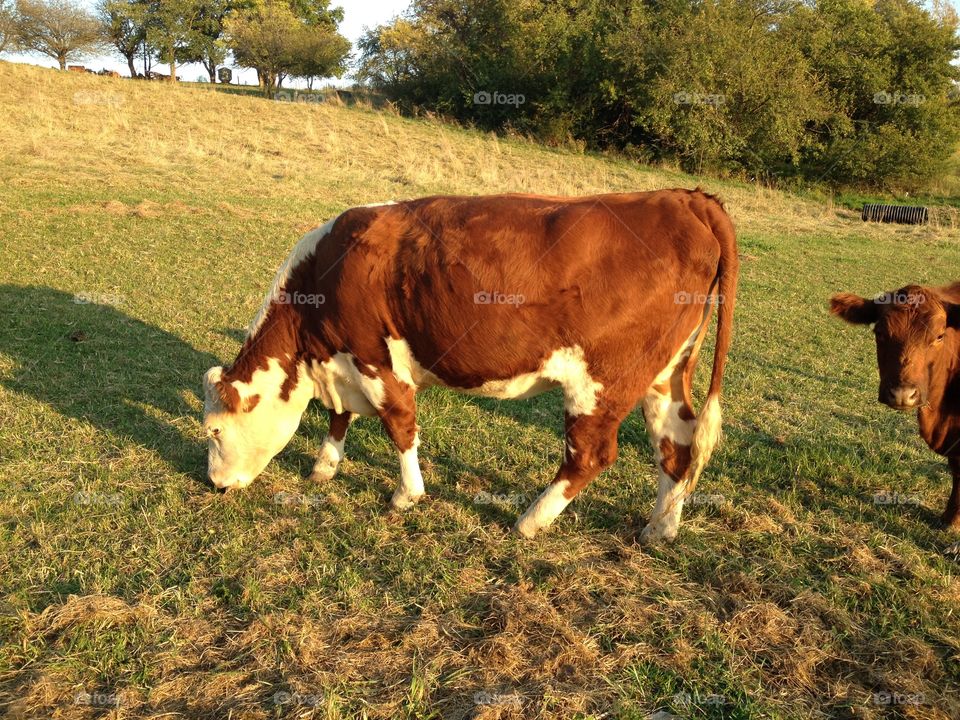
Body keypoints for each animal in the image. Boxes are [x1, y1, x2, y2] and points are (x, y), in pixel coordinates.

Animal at [202, 190, 739, 541]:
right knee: (677, 445)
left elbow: (399, 425)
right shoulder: (342, 362)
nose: (215, 485)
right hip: (665, 375)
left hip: (602, 380)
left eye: (213, 431)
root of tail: (684, 198)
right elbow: (340, 417)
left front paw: (406, 495)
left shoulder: (374, 361)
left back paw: (530, 521)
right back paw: (659, 528)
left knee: (591, 455)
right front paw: (323, 467)